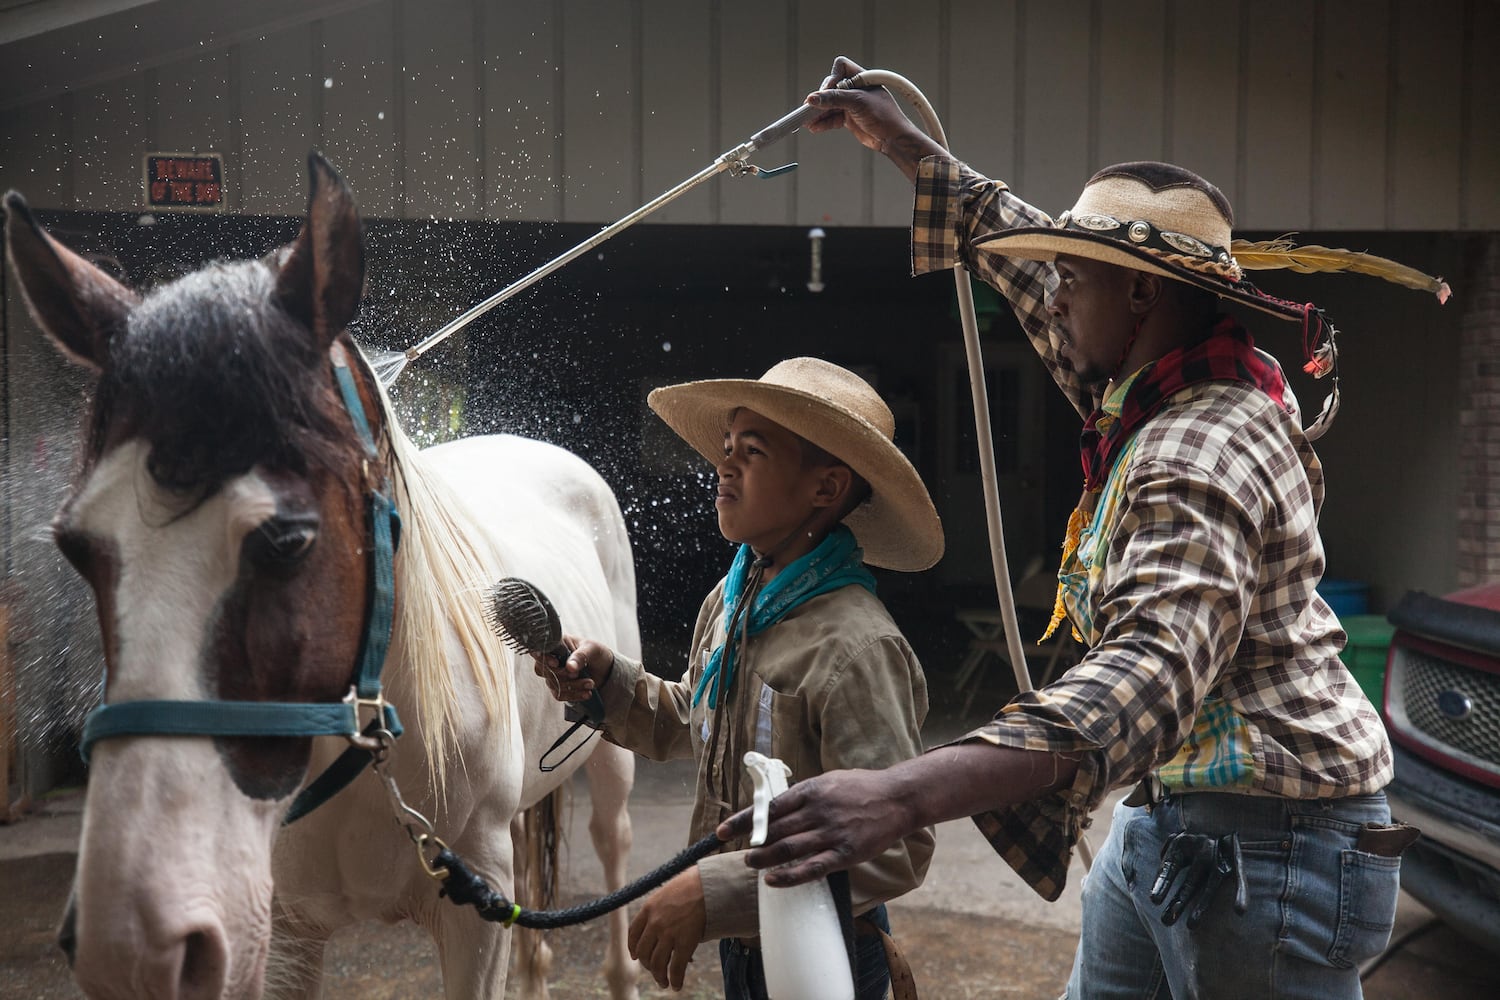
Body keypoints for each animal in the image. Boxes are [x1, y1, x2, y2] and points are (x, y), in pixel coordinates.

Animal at [0, 152, 639, 995]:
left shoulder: (477, 911)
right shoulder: (285, 933)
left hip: (612, 755)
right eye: (75, 545)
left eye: (287, 540)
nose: (130, 947)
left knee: (614, 844)